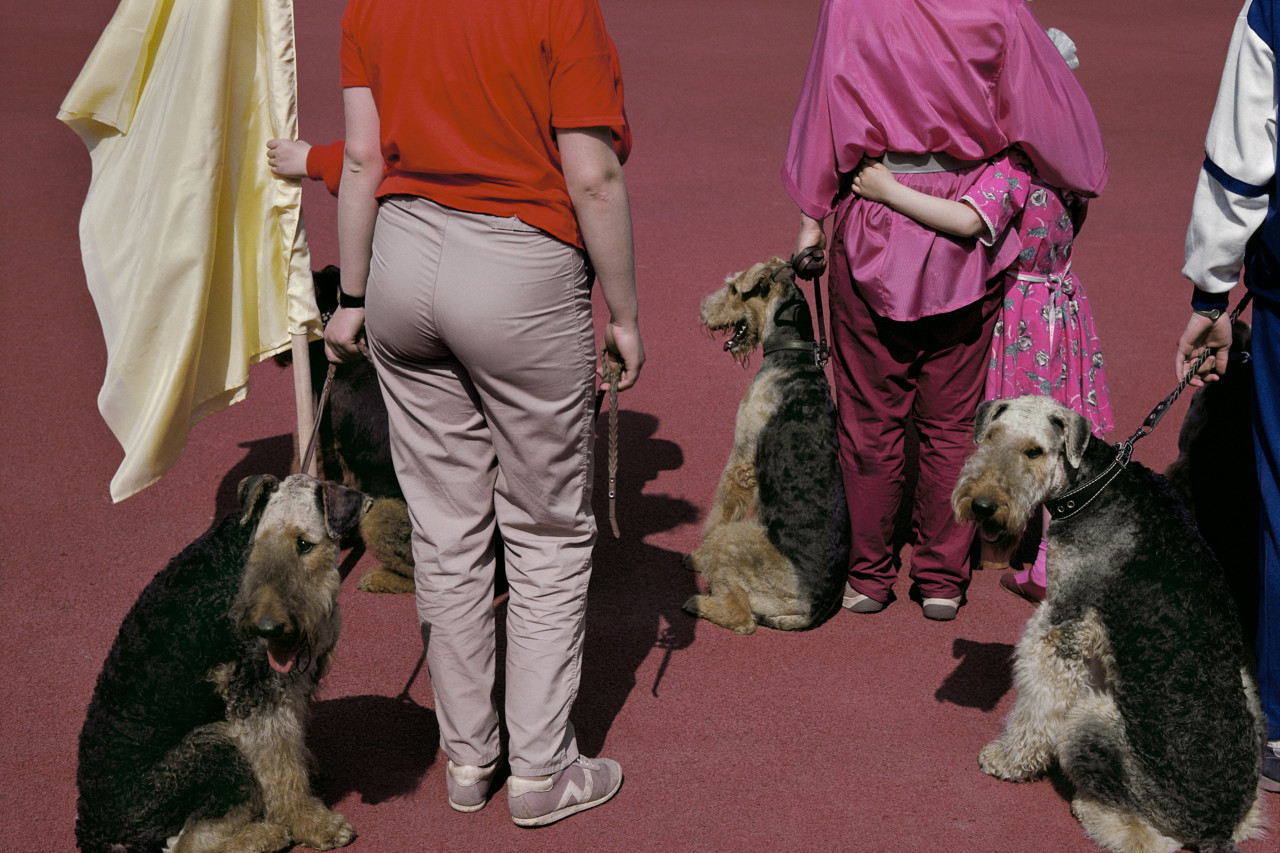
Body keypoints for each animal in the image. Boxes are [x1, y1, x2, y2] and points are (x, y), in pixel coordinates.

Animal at [76, 474, 365, 853]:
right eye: (257, 544)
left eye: (304, 544)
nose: (266, 628)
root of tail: (94, 830)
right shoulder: (254, 691)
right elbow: (280, 766)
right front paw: (312, 822)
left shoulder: (288, 680)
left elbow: (288, 747)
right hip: (216, 745)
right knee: (187, 844)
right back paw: (267, 834)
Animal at [682, 257, 850, 634]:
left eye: (734, 289)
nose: (702, 311)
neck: (794, 356)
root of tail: (810, 610)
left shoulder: (741, 460)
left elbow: (719, 513)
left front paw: (697, 556)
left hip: (734, 541)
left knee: (742, 619)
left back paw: (697, 601)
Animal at [952, 396, 1264, 853]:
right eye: (991, 436)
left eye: (1034, 451)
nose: (982, 505)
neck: (1091, 486)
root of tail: (1216, 827)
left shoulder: (1060, 624)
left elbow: (1035, 704)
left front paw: (1008, 760)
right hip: (1245, 684)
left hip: (1090, 720)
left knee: (1146, 836)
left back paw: (1086, 806)